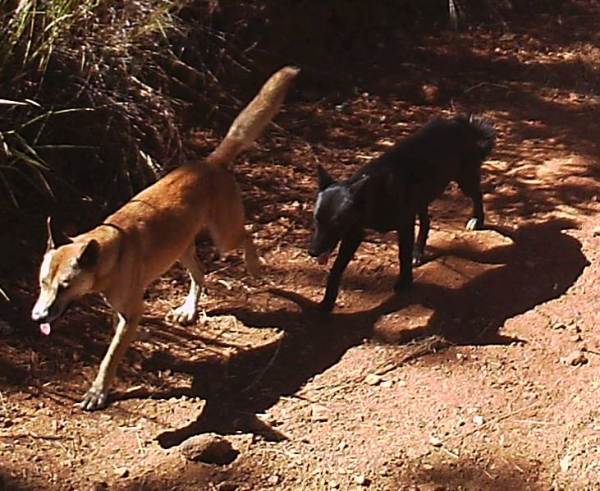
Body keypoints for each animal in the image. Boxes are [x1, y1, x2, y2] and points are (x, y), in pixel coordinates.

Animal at [308, 114, 494, 312]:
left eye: (336, 224)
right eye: (316, 220)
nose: (312, 252)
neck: (373, 194)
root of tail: (462, 123)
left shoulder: (404, 225)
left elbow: (402, 255)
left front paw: (405, 282)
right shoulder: (354, 234)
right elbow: (335, 270)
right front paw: (327, 303)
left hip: (464, 179)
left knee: (478, 195)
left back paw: (477, 219)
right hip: (422, 197)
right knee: (426, 222)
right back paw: (418, 253)